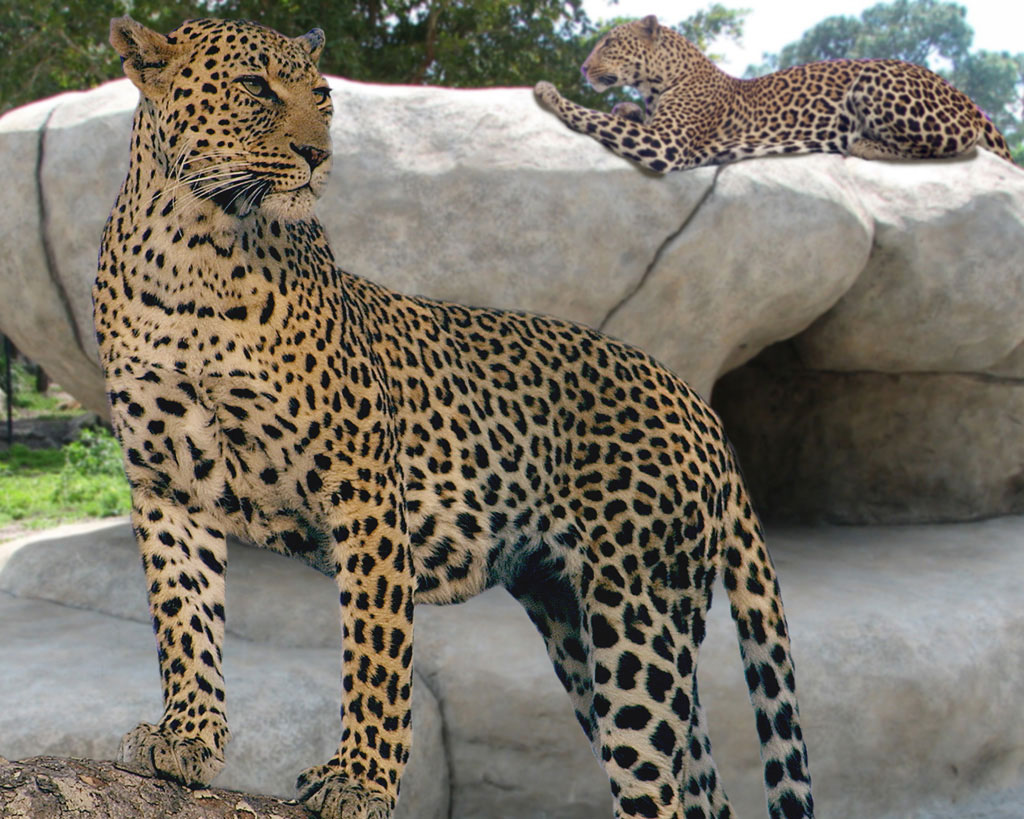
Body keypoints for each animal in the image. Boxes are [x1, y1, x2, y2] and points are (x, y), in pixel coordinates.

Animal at [96, 15, 814, 819]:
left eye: (323, 97)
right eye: (254, 87)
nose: (319, 156)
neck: (192, 253)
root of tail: (697, 402)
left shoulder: (365, 487)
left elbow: (377, 647)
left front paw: (359, 780)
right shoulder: (166, 483)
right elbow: (183, 618)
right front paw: (183, 739)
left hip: (640, 617)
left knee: (656, 780)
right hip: (574, 620)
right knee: (699, 789)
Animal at [534, 14, 1014, 173]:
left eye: (609, 44)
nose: (583, 68)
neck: (660, 80)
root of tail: (962, 94)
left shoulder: (667, 145)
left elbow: (596, 118)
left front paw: (548, 92)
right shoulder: (656, 127)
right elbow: (619, 113)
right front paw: (625, 106)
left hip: (874, 78)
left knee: (957, 141)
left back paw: (864, 143)